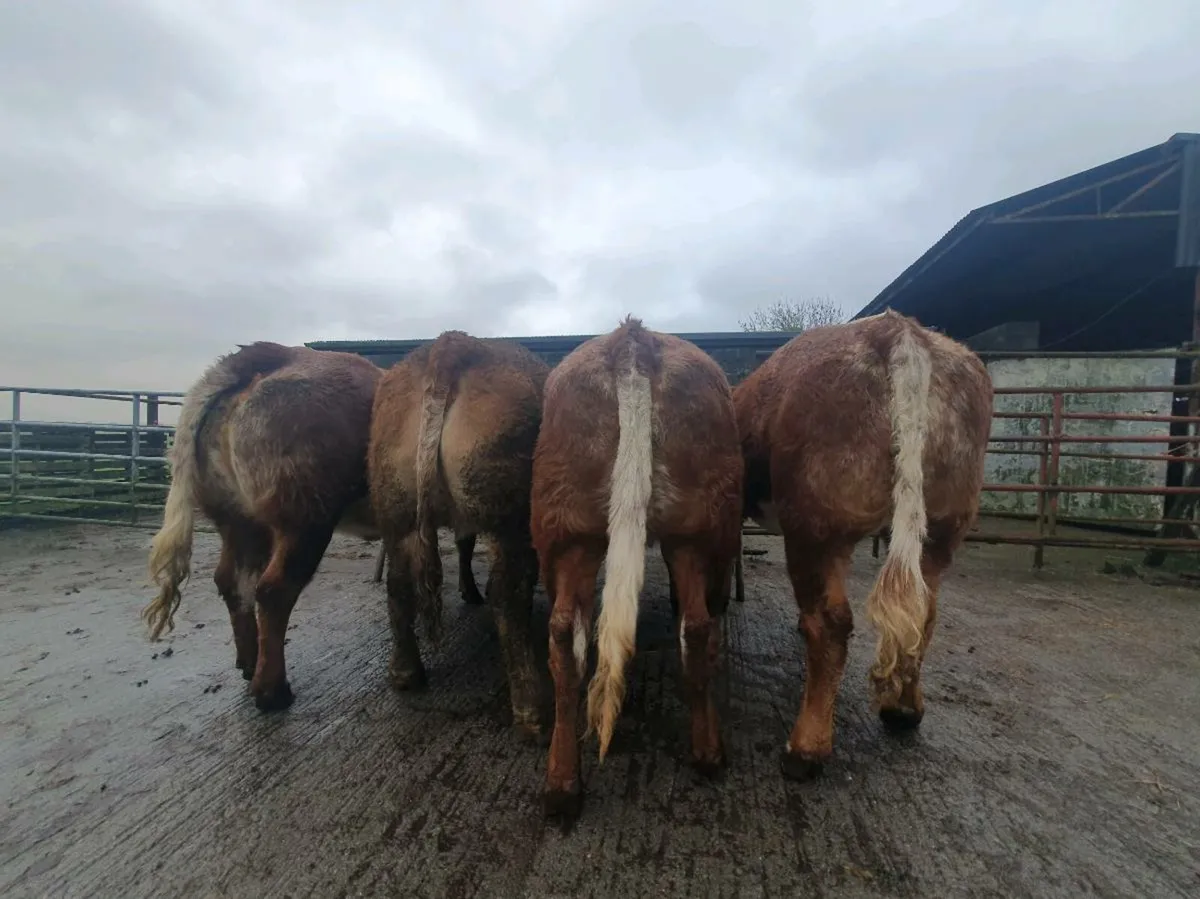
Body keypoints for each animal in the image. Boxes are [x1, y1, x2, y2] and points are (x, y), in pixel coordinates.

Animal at [143, 342, 382, 711]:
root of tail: (273, 355)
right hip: (304, 519)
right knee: (273, 590)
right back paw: (271, 690)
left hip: (238, 517)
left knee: (232, 582)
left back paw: (249, 662)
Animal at [367, 331, 550, 737]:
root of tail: (453, 344)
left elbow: (464, 544)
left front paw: (468, 590)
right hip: (509, 514)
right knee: (508, 594)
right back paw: (530, 709)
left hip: (395, 507)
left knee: (399, 585)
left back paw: (405, 672)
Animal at [531, 316, 743, 819]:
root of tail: (631, 340)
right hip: (699, 529)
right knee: (699, 624)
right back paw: (708, 753)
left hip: (568, 526)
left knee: (565, 635)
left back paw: (562, 783)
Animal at [733, 309, 993, 779]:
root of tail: (899, 331)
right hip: (942, 526)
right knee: (923, 614)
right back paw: (903, 710)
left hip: (817, 526)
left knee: (831, 622)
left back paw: (806, 749)